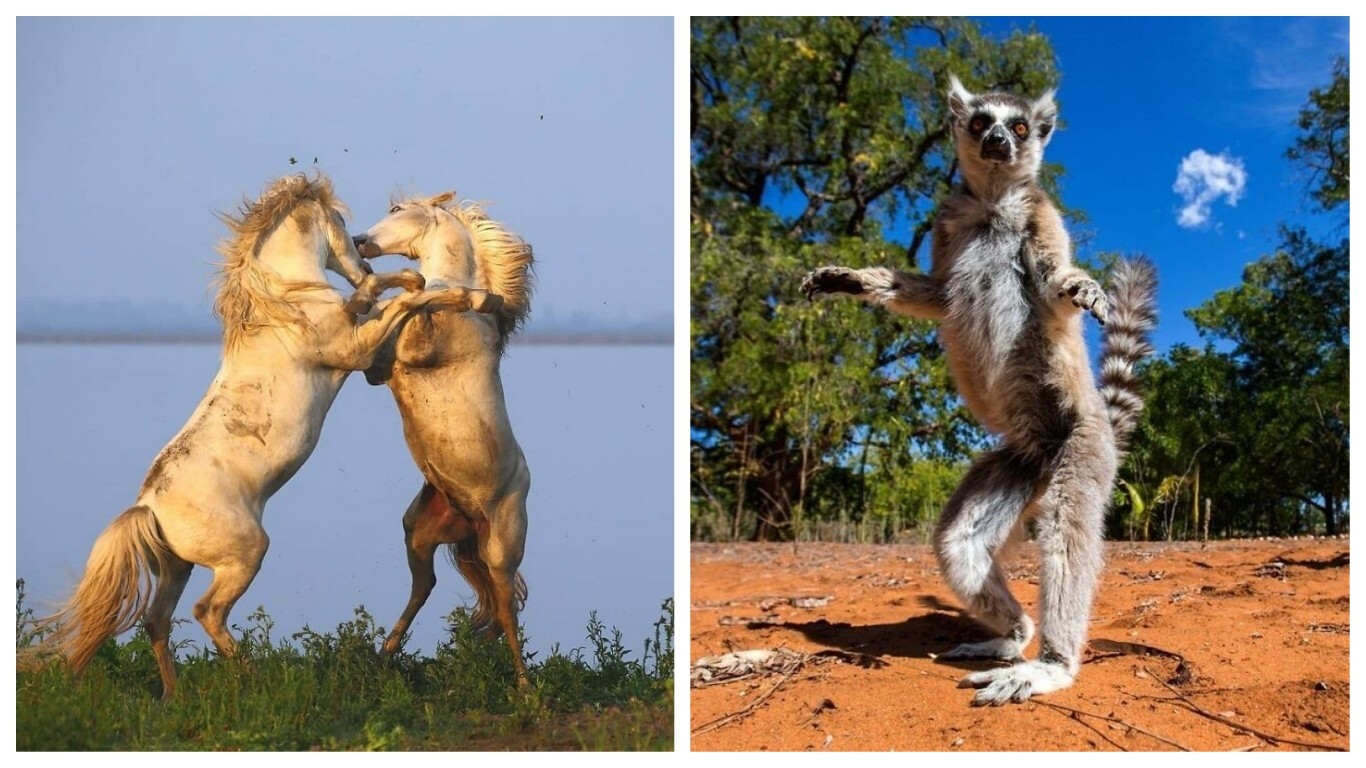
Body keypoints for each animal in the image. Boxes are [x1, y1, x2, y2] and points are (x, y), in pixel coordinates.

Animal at [25, 172, 491, 694]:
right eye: (341, 221)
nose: (363, 249)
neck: (289, 302)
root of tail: (149, 508)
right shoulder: (357, 353)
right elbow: (403, 302)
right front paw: (456, 295)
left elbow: (389, 295)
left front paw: (417, 282)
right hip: (243, 556)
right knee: (207, 612)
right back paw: (252, 677)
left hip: (177, 567)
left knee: (157, 620)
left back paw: (173, 695)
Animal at [355, 191, 535, 680]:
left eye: (397, 211)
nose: (358, 241)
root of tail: (469, 517)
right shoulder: (380, 369)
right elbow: (396, 303)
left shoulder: (414, 349)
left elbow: (418, 296)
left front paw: (475, 297)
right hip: (418, 532)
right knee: (426, 586)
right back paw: (384, 655)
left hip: (502, 547)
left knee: (508, 610)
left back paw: (526, 685)